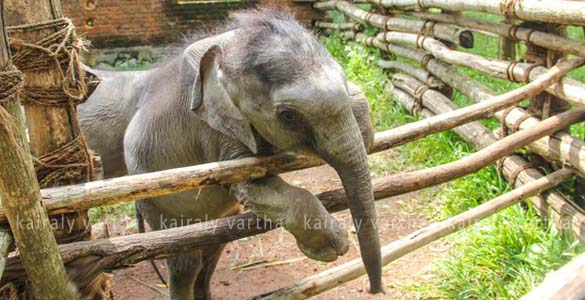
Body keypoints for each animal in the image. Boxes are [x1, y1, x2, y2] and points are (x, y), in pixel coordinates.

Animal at [77, 9, 380, 300]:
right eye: (288, 116)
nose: (374, 289)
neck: (229, 45)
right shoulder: (211, 129)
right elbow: (248, 185)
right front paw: (334, 247)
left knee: (211, 248)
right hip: (154, 199)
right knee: (185, 262)